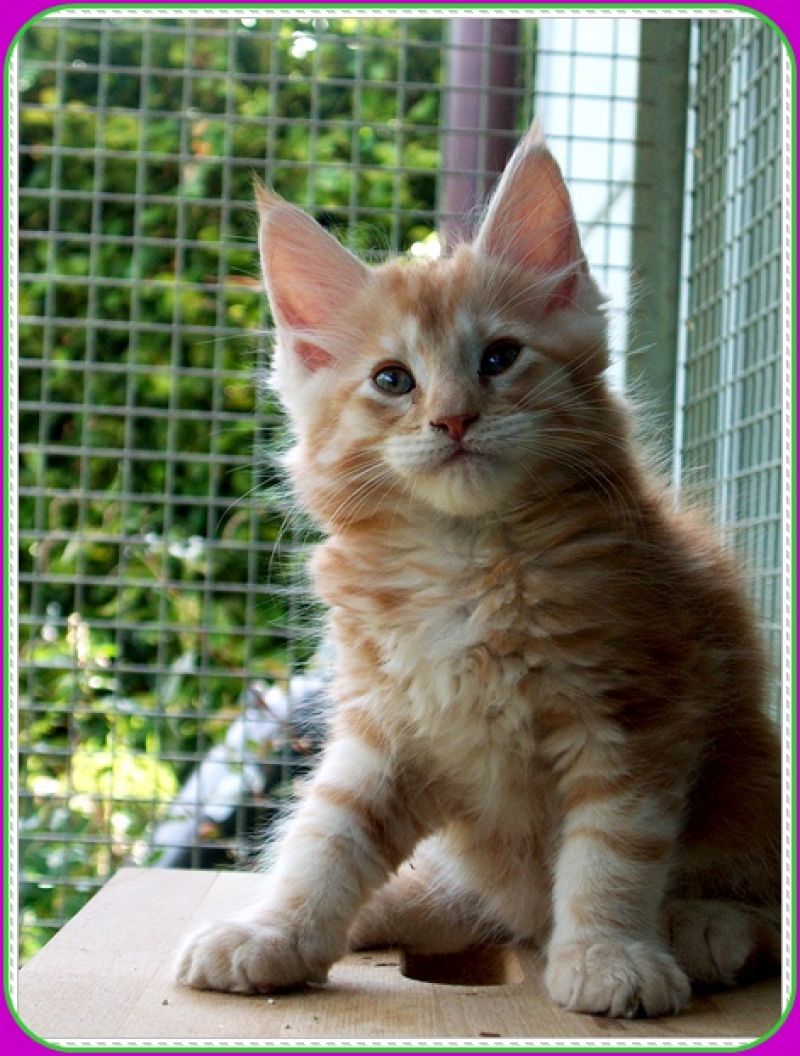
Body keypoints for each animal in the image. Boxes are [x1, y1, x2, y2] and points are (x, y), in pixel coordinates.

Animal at [177, 121, 785, 1013]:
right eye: (393, 379)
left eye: (500, 358)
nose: (454, 419)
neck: (465, 562)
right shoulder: (386, 726)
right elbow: (326, 835)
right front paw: (277, 932)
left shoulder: (634, 713)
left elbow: (613, 852)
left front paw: (606, 954)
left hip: (752, 786)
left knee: (756, 906)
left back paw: (703, 926)